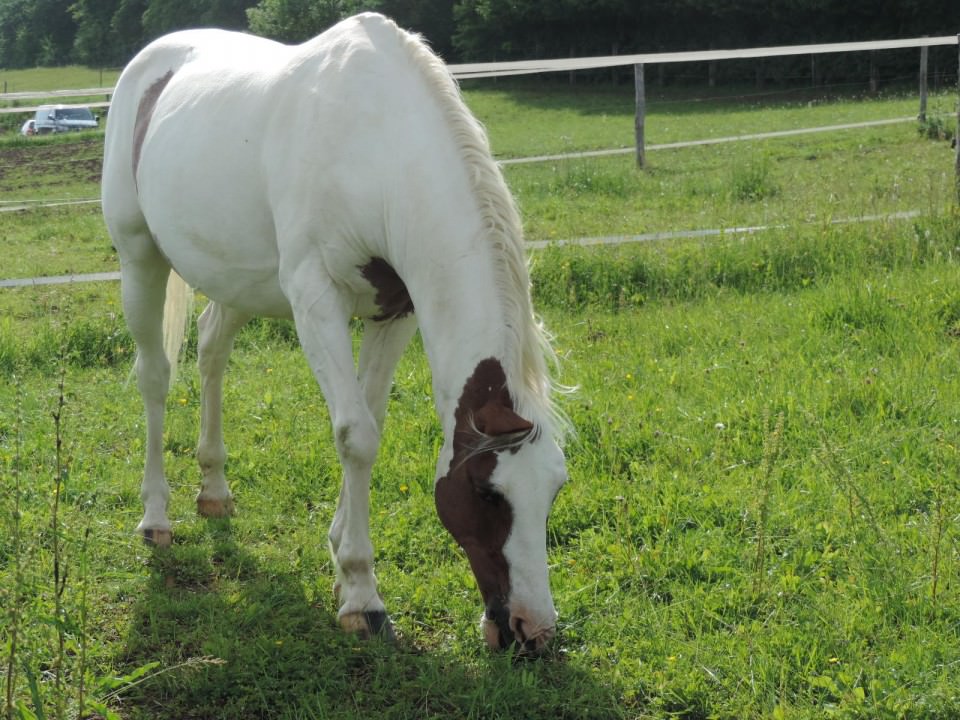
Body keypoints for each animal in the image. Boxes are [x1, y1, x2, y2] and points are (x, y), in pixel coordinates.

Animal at [103, 12, 568, 652]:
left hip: (235, 279)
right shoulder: (315, 300)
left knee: (212, 349)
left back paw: (215, 491)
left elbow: (371, 420)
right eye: (484, 490)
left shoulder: (394, 311)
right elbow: (356, 435)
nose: (532, 631)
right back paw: (156, 518)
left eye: (554, 489)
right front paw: (361, 596)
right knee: (155, 376)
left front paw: (340, 547)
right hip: (139, 257)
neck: (375, 146)